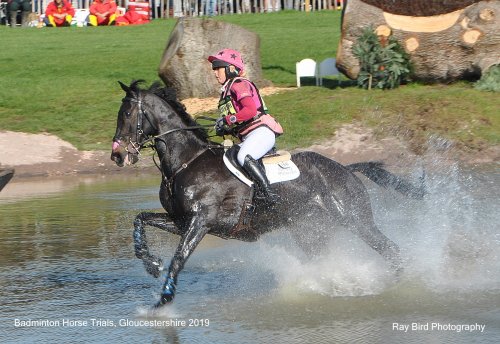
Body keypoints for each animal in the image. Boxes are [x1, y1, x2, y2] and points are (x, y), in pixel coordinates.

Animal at [111, 80, 424, 306]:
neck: (187, 160)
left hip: (355, 219)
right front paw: (151, 263)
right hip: (311, 231)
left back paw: (398, 286)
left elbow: (179, 258)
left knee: (392, 250)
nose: (117, 155)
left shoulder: (201, 221)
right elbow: (140, 220)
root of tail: (346, 169)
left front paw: (164, 300)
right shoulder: (180, 220)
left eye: (126, 113)